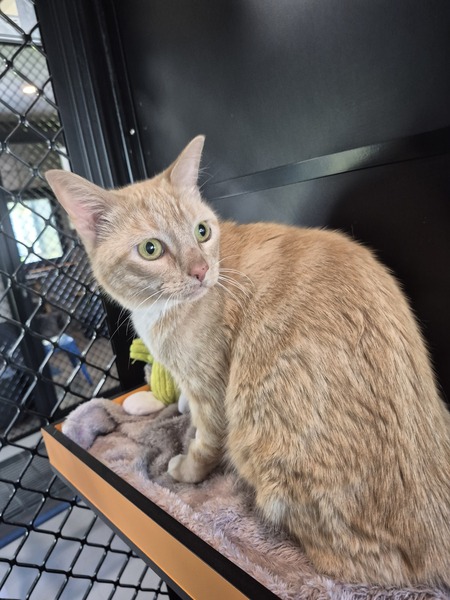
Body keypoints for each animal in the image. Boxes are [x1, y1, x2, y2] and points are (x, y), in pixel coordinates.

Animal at [46, 136, 450, 587]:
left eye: (201, 231)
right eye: (151, 249)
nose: (201, 271)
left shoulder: (209, 389)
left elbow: (205, 441)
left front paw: (187, 468)